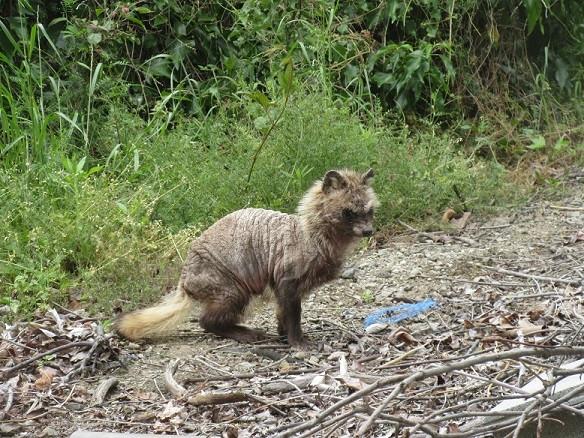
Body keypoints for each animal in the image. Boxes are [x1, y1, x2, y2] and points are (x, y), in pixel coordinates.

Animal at [114, 169, 378, 348]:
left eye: (370, 210)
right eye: (348, 212)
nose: (368, 231)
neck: (311, 236)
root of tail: (184, 282)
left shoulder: (285, 285)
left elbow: (282, 313)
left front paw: (283, 335)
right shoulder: (288, 279)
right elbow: (293, 315)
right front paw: (298, 342)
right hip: (232, 288)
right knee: (206, 321)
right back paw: (246, 333)